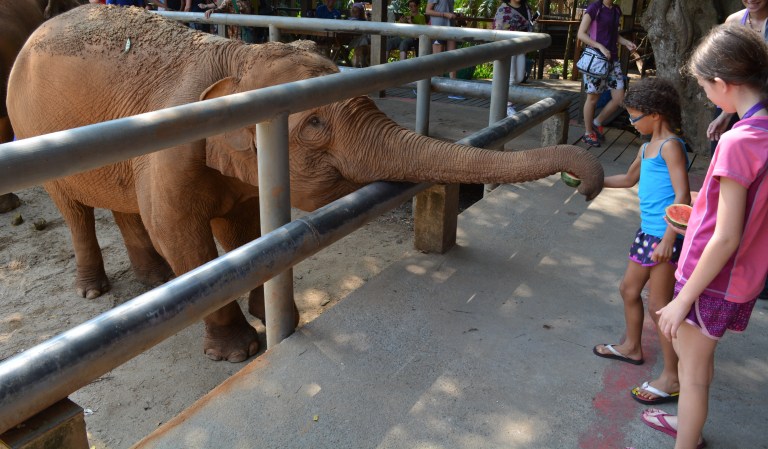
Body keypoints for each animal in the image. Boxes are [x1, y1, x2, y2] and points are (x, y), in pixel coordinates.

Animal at [7, 5, 604, 362]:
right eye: (314, 123)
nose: (585, 187)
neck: (234, 59)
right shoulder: (169, 150)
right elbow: (181, 233)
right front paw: (240, 351)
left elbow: (245, 229)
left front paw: (275, 316)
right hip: (29, 126)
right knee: (74, 207)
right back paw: (95, 289)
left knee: (121, 204)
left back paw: (154, 282)